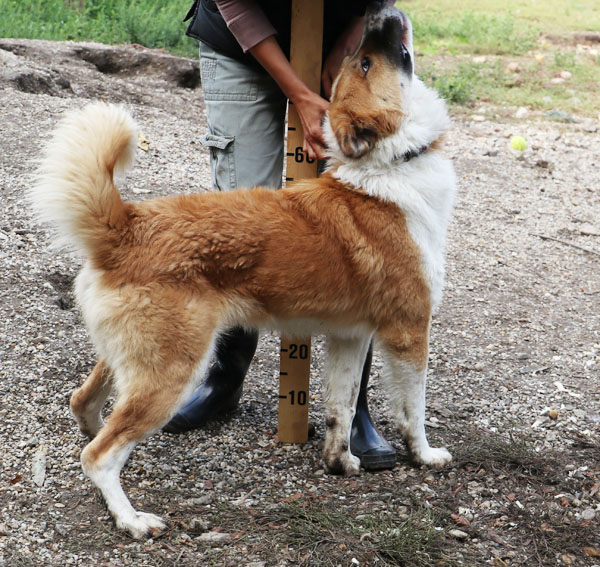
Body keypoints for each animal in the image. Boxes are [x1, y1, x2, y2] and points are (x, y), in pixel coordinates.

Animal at [31, 8, 454, 540]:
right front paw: (425, 455)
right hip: (173, 370)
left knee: (84, 403)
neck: (391, 164)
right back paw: (131, 519)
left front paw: (340, 462)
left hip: (131, 359)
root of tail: (127, 225)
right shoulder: (409, 330)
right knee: (99, 455)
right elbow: (413, 409)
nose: (382, 14)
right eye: (364, 61)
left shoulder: (349, 338)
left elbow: (340, 407)